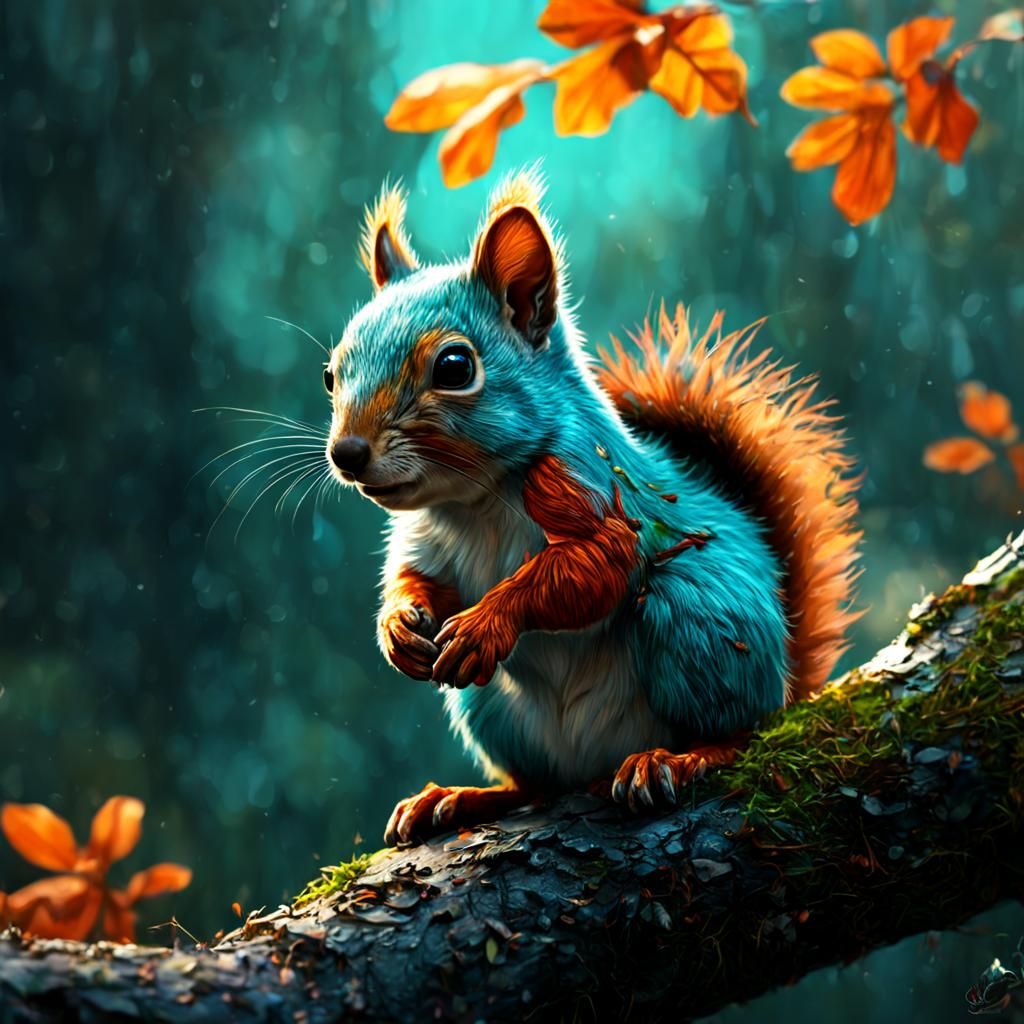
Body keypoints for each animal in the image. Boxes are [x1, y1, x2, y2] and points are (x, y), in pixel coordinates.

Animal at [323, 168, 861, 846]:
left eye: (455, 366)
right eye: (331, 373)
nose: (347, 453)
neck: (476, 502)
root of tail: (786, 685)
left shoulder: (594, 492)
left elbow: (596, 565)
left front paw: (486, 621)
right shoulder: (422, 540)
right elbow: (413, 579)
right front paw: (398, 625)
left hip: (698, 624)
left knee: (739, 731)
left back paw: (678, 759)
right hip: (489, 708)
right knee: (536, 785)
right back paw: (461, 797)